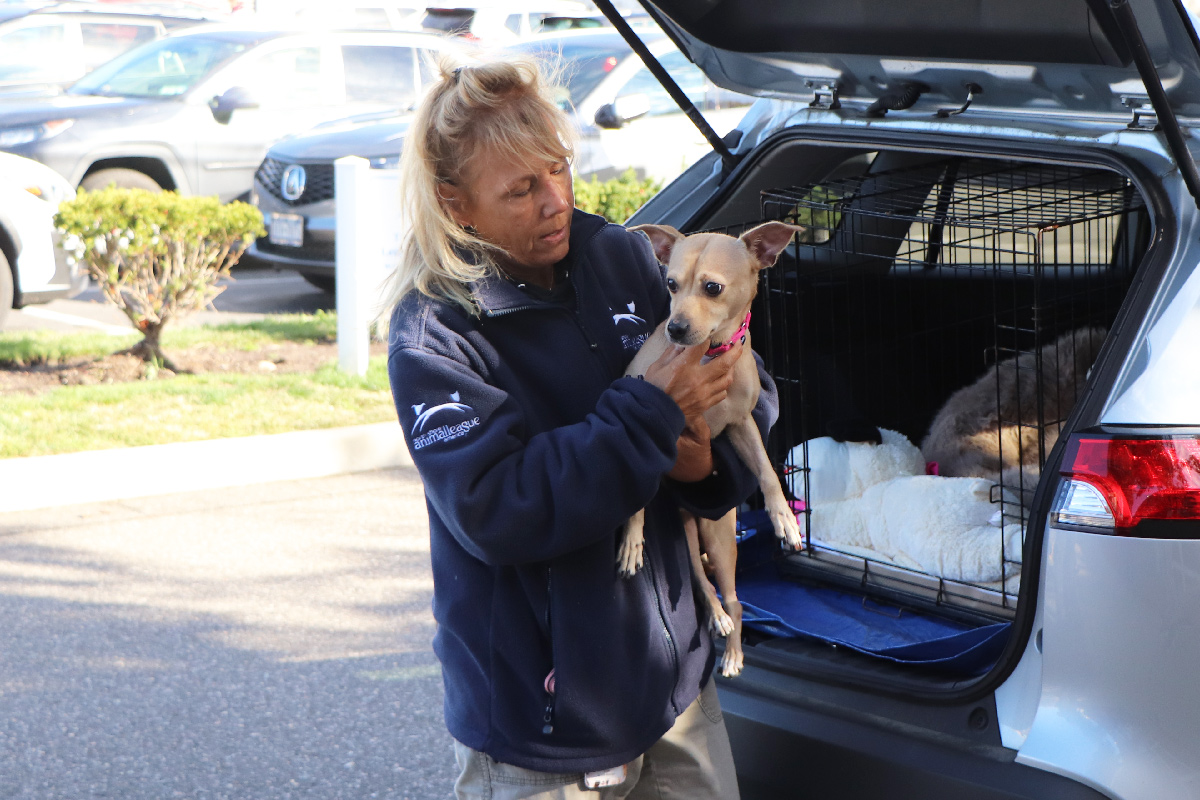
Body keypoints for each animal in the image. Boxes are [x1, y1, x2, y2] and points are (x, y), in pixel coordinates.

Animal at [618, 221, 804, 678]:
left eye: (713, 288)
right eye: (670, 284)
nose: (676, 328)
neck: (709, 355)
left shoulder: (741, 425)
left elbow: (767, 472)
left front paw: (784, 519)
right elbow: (635, 490)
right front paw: (631, 539)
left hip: (719, 539)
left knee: (734, 600)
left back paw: (733, 650)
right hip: (690, 540)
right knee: (705, 588)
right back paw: (717, 618)